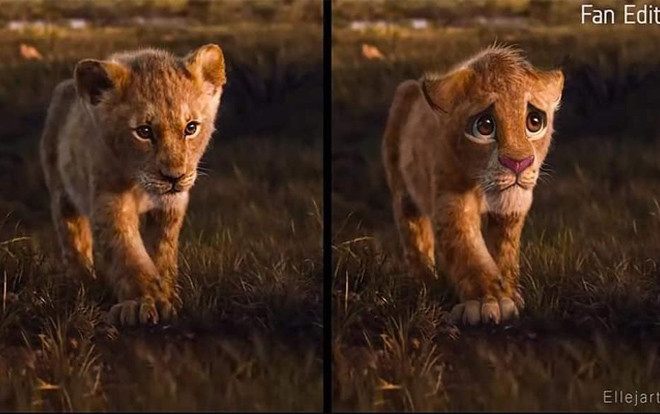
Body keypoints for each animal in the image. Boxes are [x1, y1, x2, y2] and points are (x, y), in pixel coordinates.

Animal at [39, 44, 226, 326]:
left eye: (191, 128)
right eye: (144, 131)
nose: (174, 177)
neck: (139, 185)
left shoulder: (171, 206)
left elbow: (162, 250)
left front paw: (167, 294)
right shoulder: (110, 200)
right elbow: (128, 254)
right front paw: (142, 303)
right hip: (61, 191)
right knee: (73, 237)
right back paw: (81, 280)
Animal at [382, 46, 563, 325]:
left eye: (534, 122)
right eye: (485, 126)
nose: (518, 163)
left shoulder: (513, 208)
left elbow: (505, 249)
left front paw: (510, 292)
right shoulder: (452, 198)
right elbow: (468, 250)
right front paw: (489, 302)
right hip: (402, 190)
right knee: (413, 233)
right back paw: (426, 282)